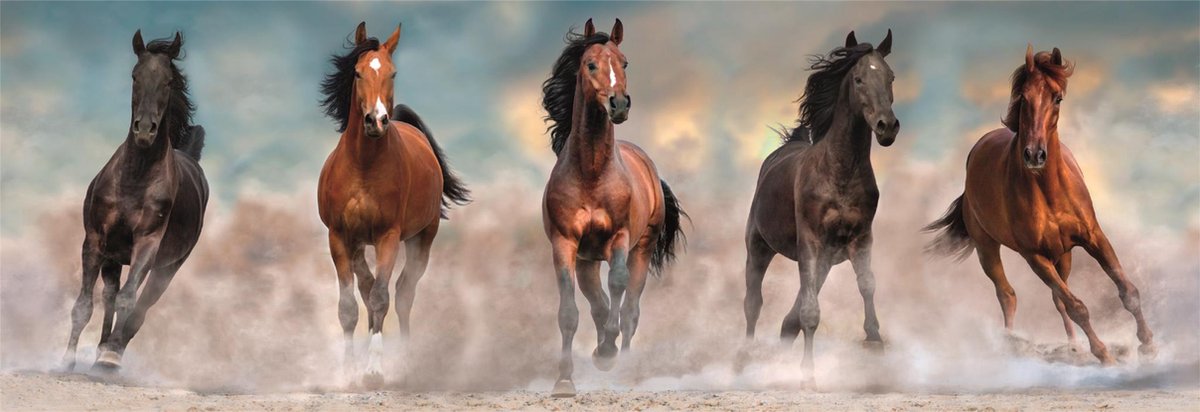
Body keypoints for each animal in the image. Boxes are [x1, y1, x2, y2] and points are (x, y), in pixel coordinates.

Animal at [62, 30, 209, 371]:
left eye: (168, 81)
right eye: (134, 76)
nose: (144, 129)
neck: (136, 178)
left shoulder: (148, 244)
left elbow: (129, 301)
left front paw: (109, 356)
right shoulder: (95, 240)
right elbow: (84, 304)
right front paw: (68, 359)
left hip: (168, 267)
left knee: (140, 307)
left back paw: (110, 353)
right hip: (114, 257)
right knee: (109, 296)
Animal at [317, 21, 470, 387]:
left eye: (393, 73)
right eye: (357, 72)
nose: (377, 120)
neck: (364, 166)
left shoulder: (389, 236)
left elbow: (381, 298)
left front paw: (374, 371)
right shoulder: (338, 238)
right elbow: (348, 306)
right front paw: (348, 372)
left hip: (421, 240)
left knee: (402, 294)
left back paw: (406, 362)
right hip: (359, 244)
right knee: (368, 286)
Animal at [540, 19, 686, 397]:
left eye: (625, 62)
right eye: (590, 64)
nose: (619, 104)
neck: (592, 172)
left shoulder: (619, 238)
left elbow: (618, 286)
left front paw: (607, 352)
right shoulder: (565, 244)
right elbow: (570, 312)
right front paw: (564, 381)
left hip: (642, 248)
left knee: (631, 309)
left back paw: (623, 366)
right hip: (587, 260)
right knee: (598, 304)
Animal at [743, 30, 898, 387]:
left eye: (891, 77)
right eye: (858, 79)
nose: (887, 127)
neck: (839, 172)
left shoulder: (860, 237)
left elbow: (867, 283)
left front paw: (874, 343)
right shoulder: (810, 241)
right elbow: (810, 313)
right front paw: (808, 376)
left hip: (826, 257)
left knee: (791, 314)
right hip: (759, 246)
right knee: (753, 303)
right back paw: (743, 362)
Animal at [925, 45, 1155, 364]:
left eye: (1057, 97)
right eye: (1023, 97)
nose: (1034, 154)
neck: (1049, 191)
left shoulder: (1094, 238)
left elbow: (1127, 291)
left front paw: (1147, 344)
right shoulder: (1034, 257)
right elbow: (1077, 306)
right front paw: (1104, 354)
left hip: (1064, 255)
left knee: (1057, 299)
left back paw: (1073, 346)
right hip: (987, 248)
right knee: (1008, 295)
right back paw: (1011, 344)